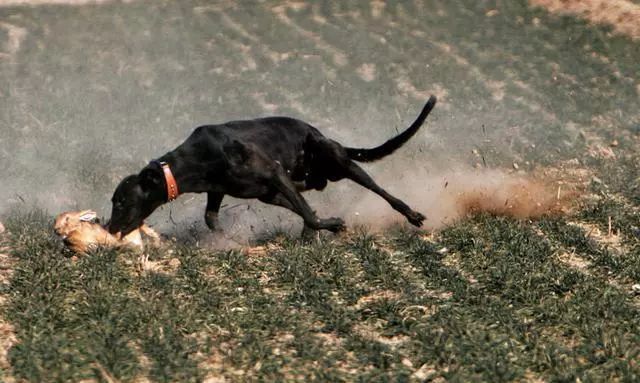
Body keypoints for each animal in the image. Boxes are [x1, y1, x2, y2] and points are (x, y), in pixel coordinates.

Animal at [107, 97, 438, 237]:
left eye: (121, 201)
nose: (109, 229)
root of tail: (321, 134)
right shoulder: (230, 190)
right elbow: (211, 219)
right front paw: (228, 241)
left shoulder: (274, 174)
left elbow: (311, 215)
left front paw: (332, 224)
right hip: (280, 189)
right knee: (308, 193)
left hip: (340, 161)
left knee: (380, 190)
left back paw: (412, 214)